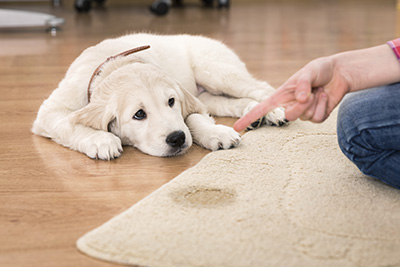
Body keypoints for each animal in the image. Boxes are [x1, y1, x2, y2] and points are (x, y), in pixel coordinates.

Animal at [32, 32, 288, 160]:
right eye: (139, 114)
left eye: (171, 102)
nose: (177, 139)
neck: (114, 64)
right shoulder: (50, 112)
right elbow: (70, 124)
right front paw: (101, 140)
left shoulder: (187, 100)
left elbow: (193, 118)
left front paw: (215, 133)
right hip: (208, 93)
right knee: (228, 102)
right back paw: (253, 113)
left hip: (215, 71)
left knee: (261, 87)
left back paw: (274, 111)